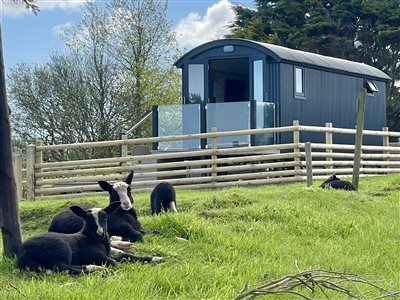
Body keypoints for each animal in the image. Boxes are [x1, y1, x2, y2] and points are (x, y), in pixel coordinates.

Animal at [17, 203, 163, 276]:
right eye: (88, 219)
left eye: (105, 218)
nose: (100, 233)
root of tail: (23, 252)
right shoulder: (98, 256)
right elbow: (115, 262)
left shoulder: (108, 255)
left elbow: (126, 256)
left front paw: (156, 258)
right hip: (61, 250)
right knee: (60, 267)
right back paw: (96, 270)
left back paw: (94, 267)